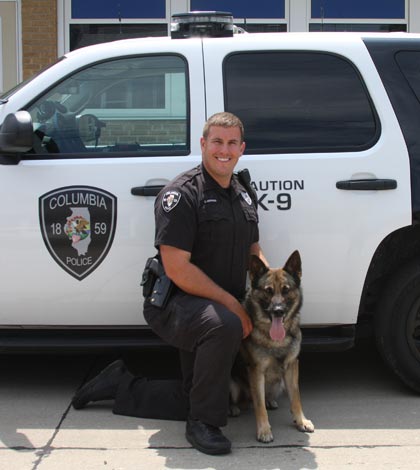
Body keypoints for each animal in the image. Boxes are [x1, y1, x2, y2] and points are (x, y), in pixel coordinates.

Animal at [230, 252, 316, 442]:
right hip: (232, 384)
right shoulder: (256, 370)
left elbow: (296, 397)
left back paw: (269, 401)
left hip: (279, 383)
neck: (276, 340)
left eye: (285, 290)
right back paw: (233, 408)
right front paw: (264, 430)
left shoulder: (292, 366)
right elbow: (259, 405)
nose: (278, 311)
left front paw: (301, 420)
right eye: (268, 291)